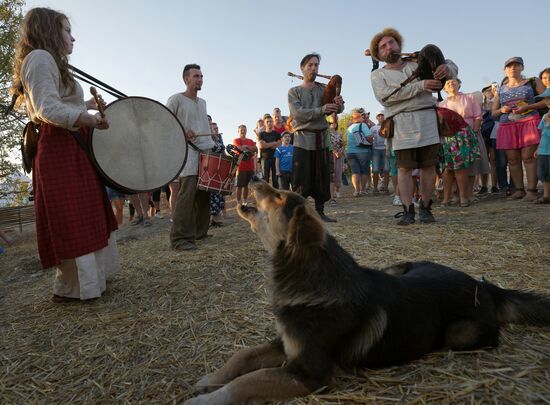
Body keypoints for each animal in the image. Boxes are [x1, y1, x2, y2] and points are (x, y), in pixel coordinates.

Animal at [185, 181, 550, 404]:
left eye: (279, 197)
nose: (257, 175)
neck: (307, 274)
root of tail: (483, 285)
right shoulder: (286, 342)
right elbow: (243, 357)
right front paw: (211, 378)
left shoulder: (309, 373)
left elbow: (248, 381)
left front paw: (205, 399)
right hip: (399, 267)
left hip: (461, 333)